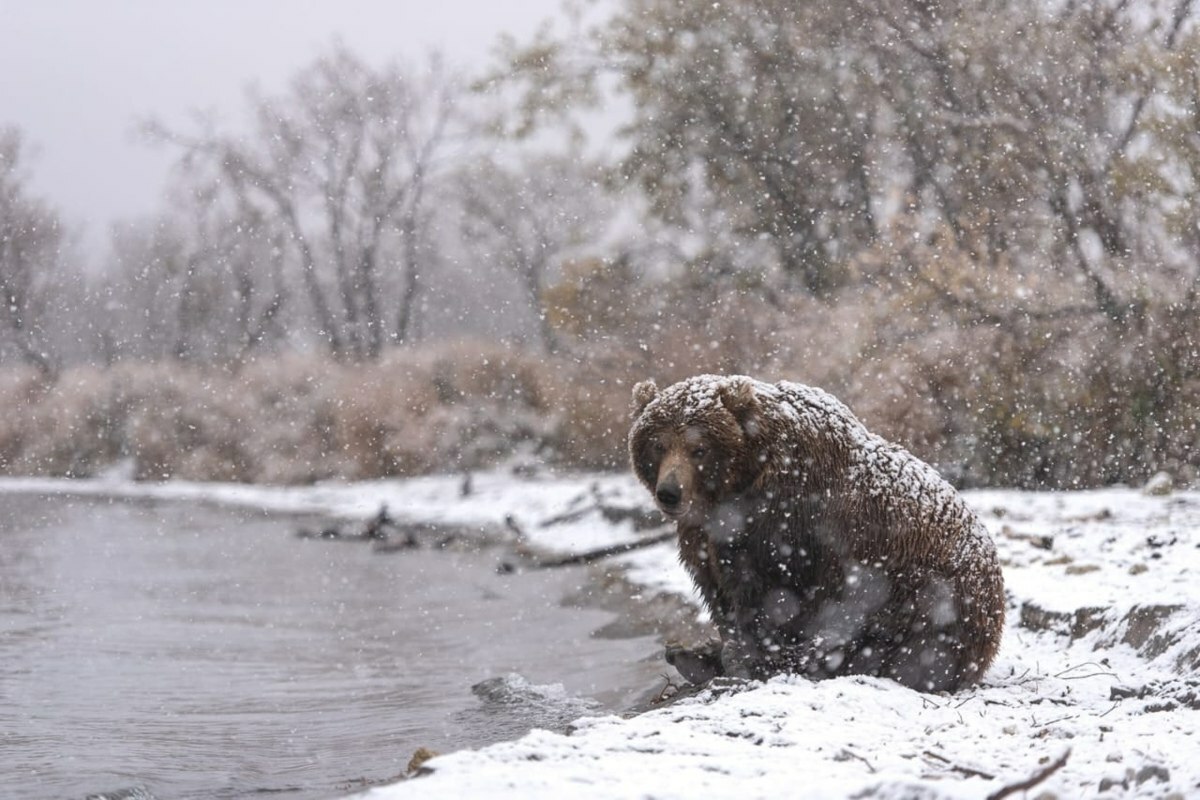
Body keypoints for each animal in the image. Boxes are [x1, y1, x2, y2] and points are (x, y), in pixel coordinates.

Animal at [628, 376, 1003, 695]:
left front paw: (747, 658)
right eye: (659, 446)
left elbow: (770, 593)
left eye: (699, 448)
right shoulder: (704, 537)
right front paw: (715, 647)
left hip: (930, 589)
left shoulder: (786, 517)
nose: (669, 493)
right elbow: (718, 589)